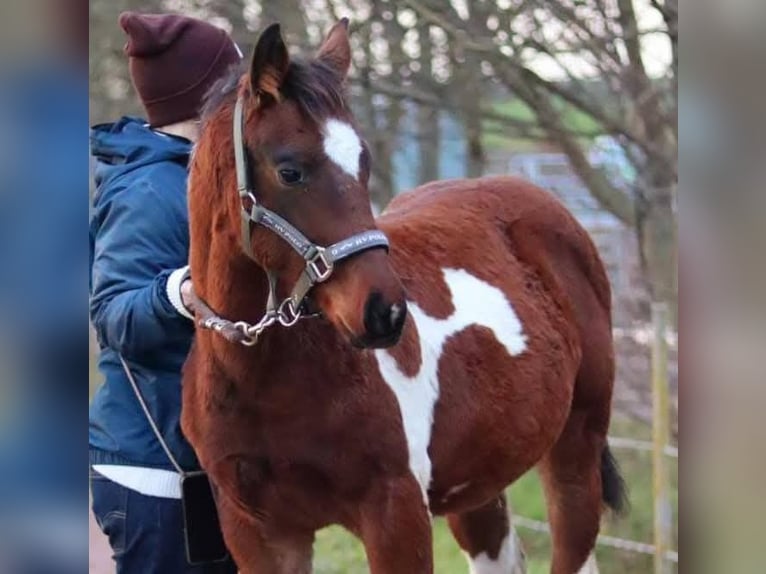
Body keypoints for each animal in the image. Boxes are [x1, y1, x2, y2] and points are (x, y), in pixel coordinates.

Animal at [183, 20, 628, 574]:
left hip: (575, 451)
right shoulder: (261, 535)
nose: (386, 312)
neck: (266, 380)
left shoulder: (396, 514)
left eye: (364, 162)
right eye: (290, 170)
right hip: (480, 481)